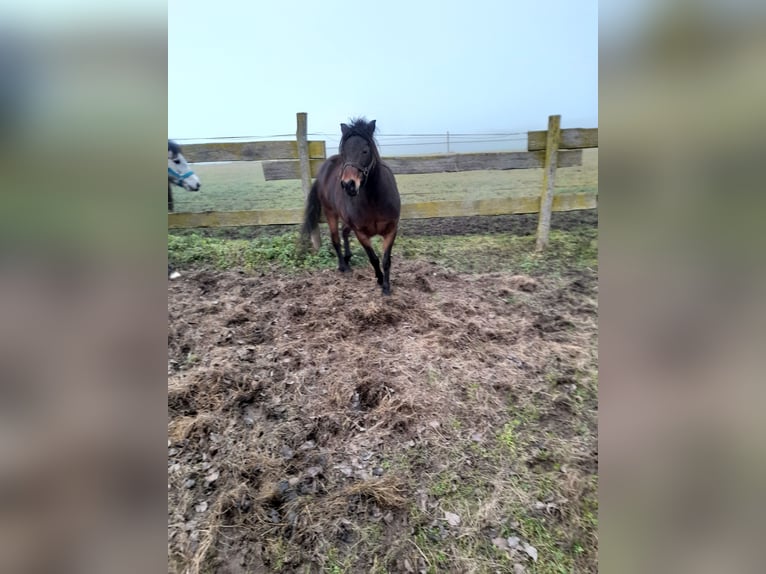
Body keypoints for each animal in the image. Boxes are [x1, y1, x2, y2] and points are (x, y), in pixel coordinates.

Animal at [302, 118, 401, 295]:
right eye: (344, 153)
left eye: (365, 150)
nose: (349, 185)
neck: (374, 200)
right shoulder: (361, 233)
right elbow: (373, 258)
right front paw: (379, 280)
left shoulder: (391, 230)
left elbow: (386, 260)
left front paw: (386, 287)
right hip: (330, 213)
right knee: (336, 238)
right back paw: (343, 265)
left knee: (344, 232)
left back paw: (348, 258)